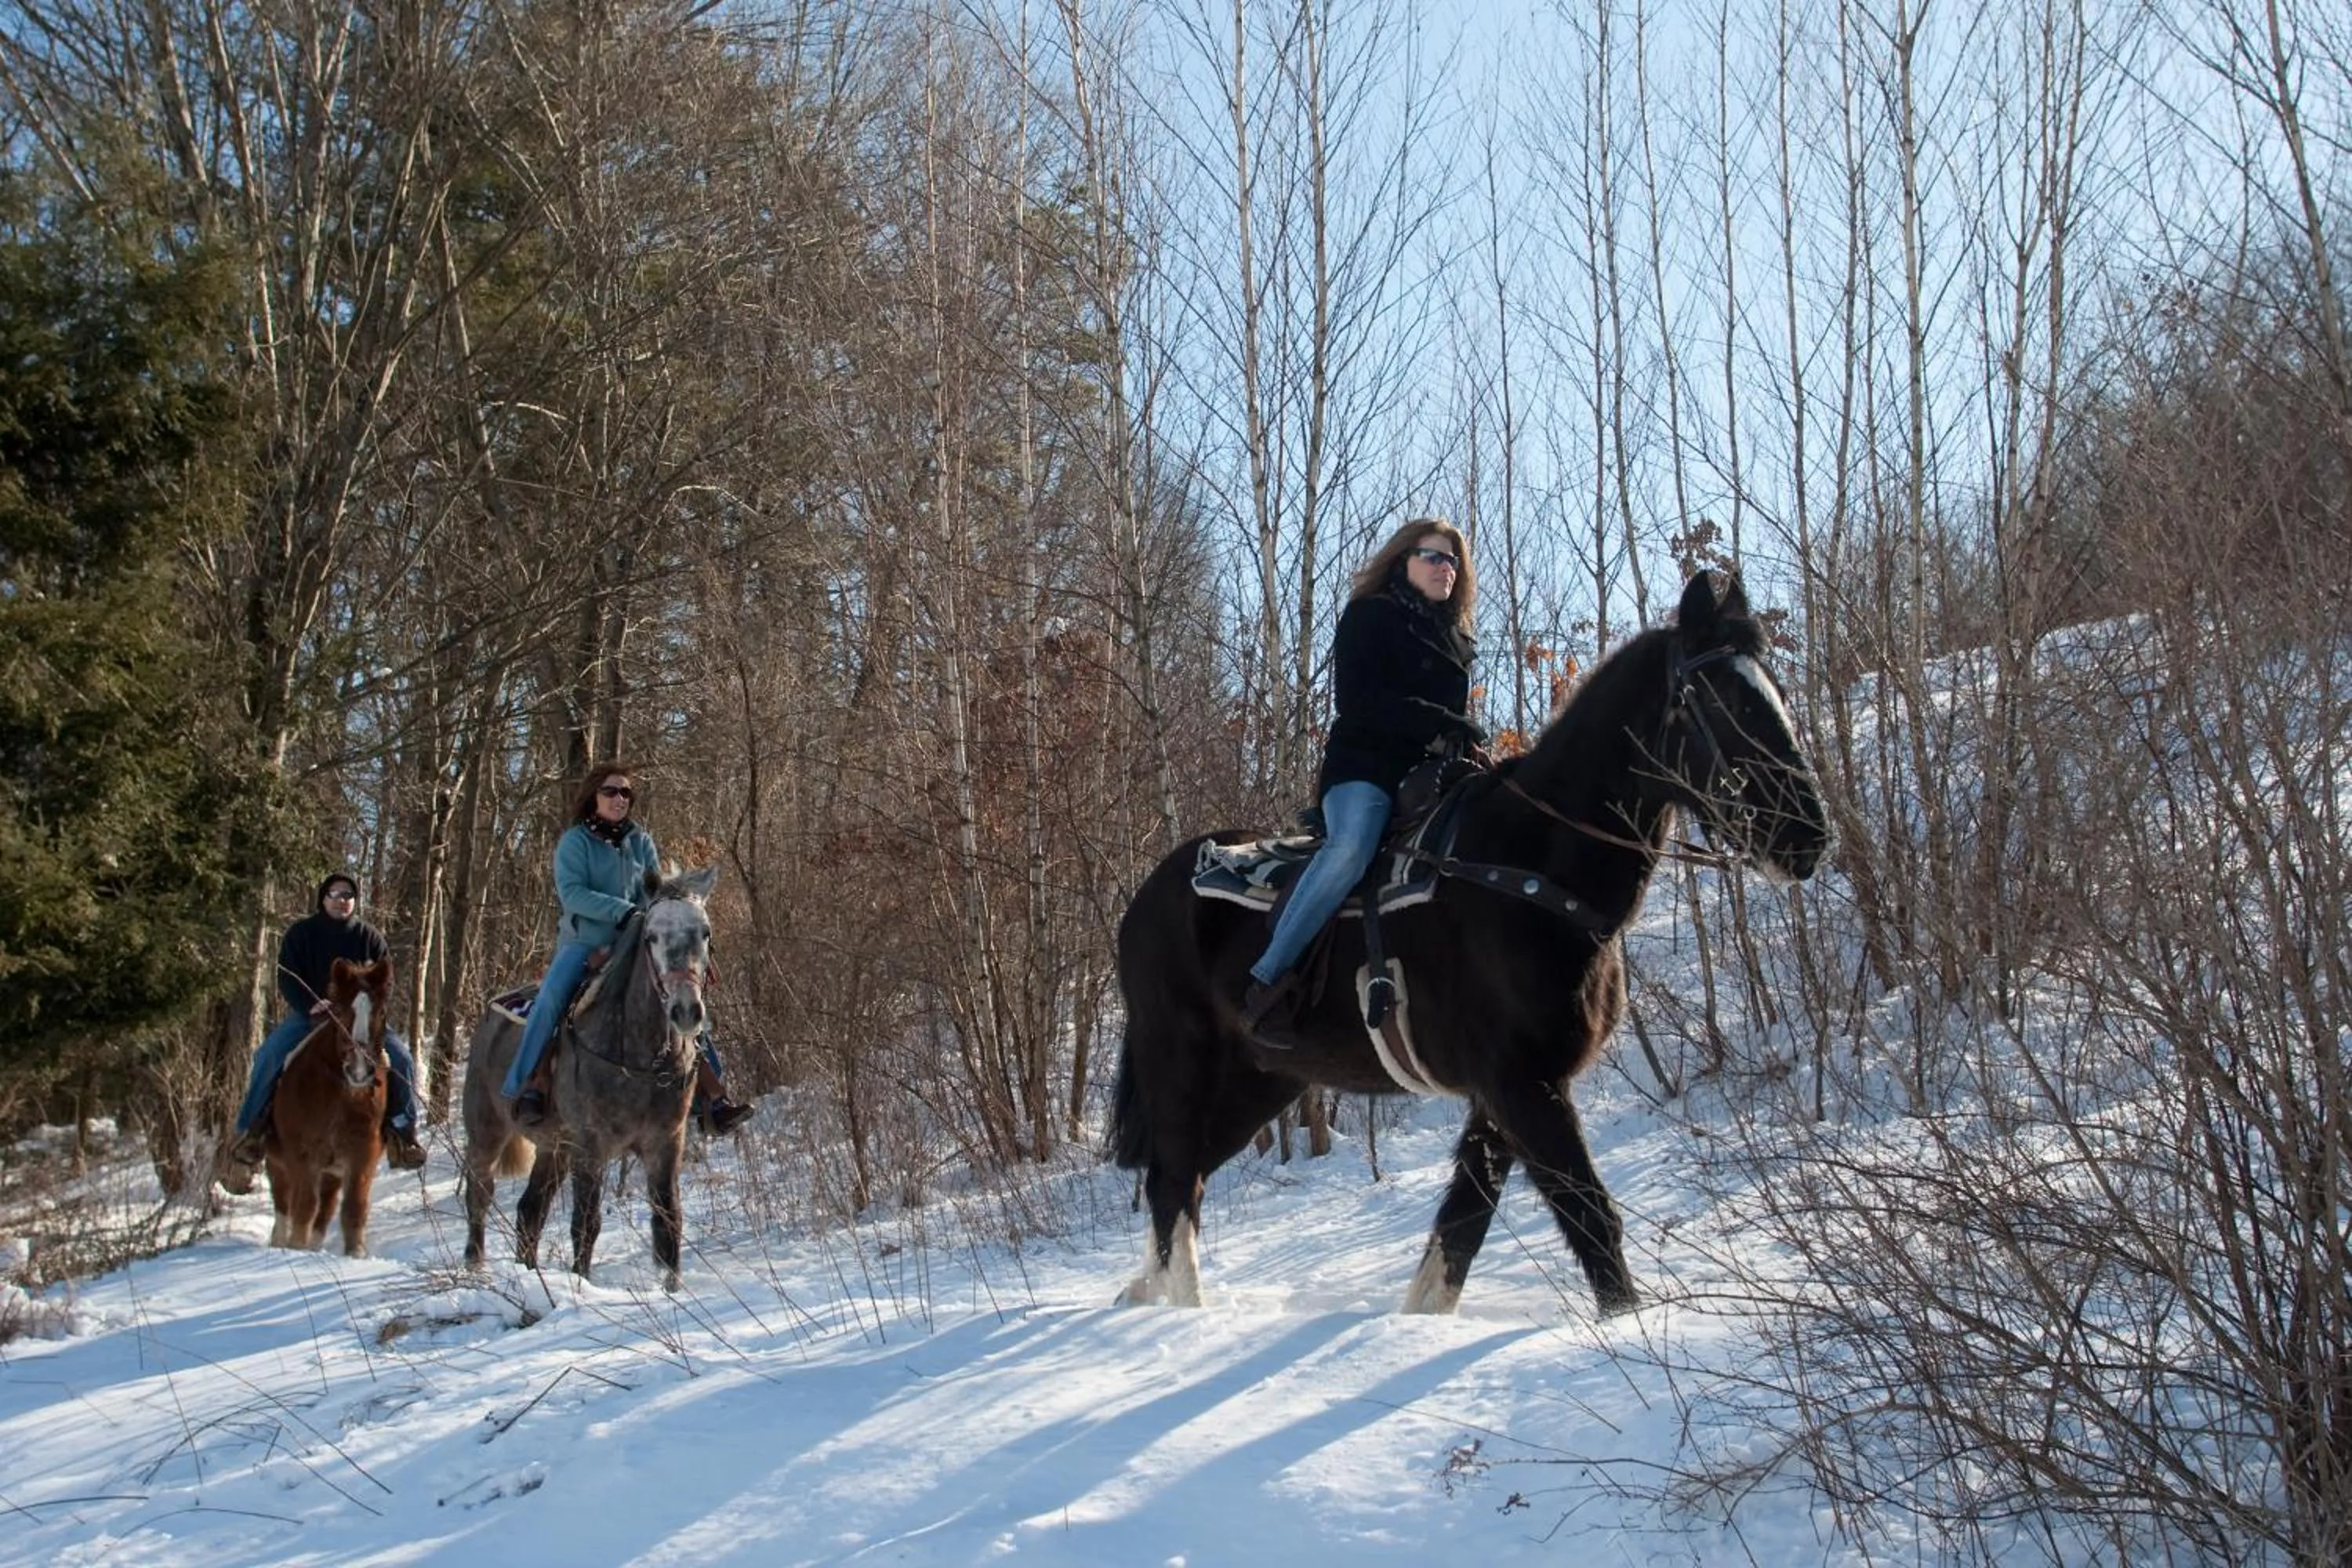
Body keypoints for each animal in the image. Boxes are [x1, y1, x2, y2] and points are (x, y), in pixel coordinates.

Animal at [263, 956, 394, 1255]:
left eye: (381, 1012)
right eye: (340, 1010)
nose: (360, 1071)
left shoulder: (363, 1154)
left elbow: (353, 1208)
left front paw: (355, 1253)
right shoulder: (302, 1155)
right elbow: (304, 1206)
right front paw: (296, 1247)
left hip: (332, 1172)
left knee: (326, 1209)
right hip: (277, 1161)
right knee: (283, 1201)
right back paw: (280, 1241)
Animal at [460, 864, 718, 1291]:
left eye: (705, 932)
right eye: (651, 936)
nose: (686, 1011)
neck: (637, 1058)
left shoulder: (666, 1143)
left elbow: (668, 1221)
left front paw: (672, 1289)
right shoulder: (591, 1146)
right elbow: (586, 1223)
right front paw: (581, 1285)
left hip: (554, 1149)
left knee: (530, 1211)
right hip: (487, 1131)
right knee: (479, 1196)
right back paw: (475, 1268)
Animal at [1110, 569, 1830, 1316]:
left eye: (1773, 690)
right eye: (1723, 700)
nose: (1807, 836)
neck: (1529, 871)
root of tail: (1145, 899)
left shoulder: (1507, 1092)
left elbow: (1463, 1225)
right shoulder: (1522, 1083)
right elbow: (1589, 1215)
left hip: (1262, 1079)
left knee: (1182, 1178)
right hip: (1183, 1060)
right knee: (1173, 1179)